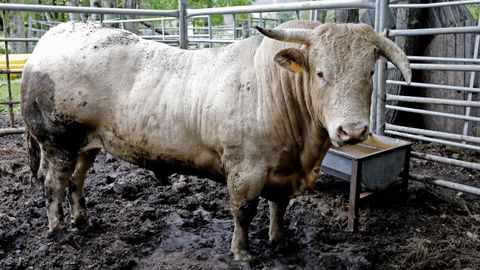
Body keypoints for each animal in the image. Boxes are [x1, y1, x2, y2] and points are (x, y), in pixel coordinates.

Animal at [21, 20, 408, 260]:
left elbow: (279, 206)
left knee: (77, 181)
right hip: (57, 142)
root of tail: (52, 37)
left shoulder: (283, 171)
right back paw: (59, 230)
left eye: (369, 72)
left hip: (86, 144)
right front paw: (242, 252)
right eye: (320, 73)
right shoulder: (245, 170)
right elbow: (244, 211)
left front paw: (280, 241)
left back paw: (81, 219)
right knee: (54, 184)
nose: (352, 131)